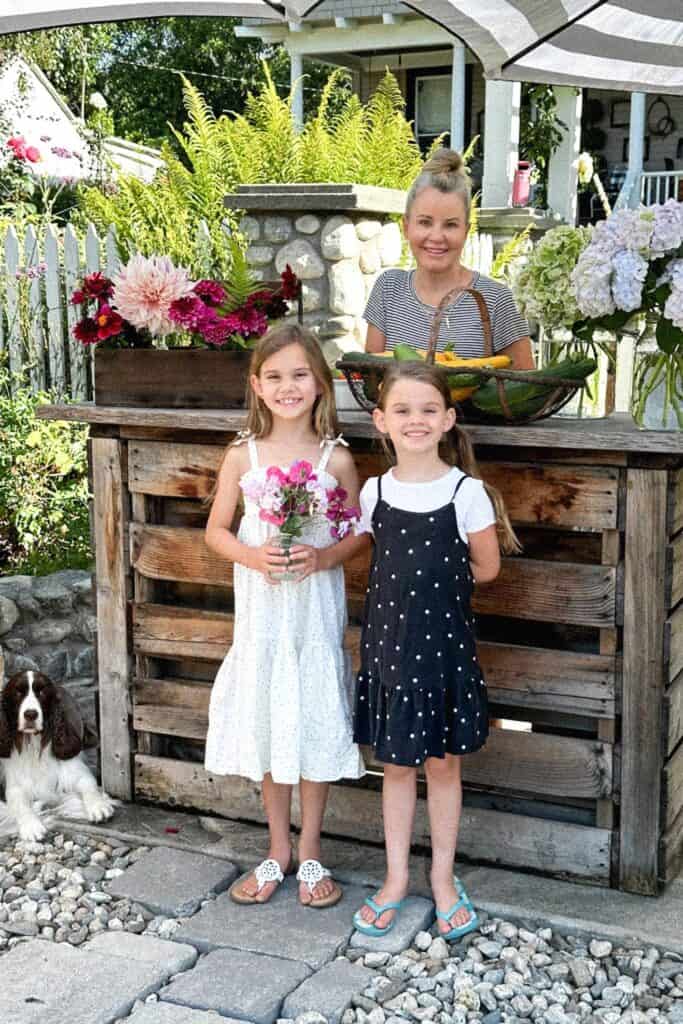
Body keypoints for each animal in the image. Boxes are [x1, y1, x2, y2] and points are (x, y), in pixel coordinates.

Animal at [0, 671, 114, 839]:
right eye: (18, 692)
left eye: (42, 692)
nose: (30, 714)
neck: (34, 743)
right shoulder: (15, 784)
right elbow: (20, 802)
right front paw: (31, 826)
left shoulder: (74, 771)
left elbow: (89, 785)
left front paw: (98, 806)